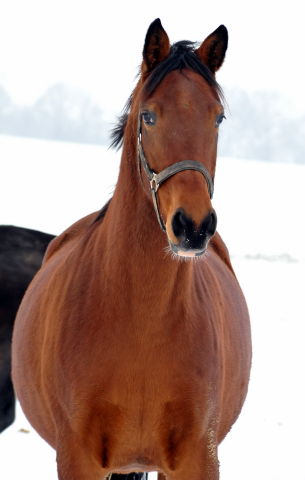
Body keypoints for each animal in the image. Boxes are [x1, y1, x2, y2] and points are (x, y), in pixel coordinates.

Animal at [11, 18, 251, 480]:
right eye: (148, 116)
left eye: (218, 118)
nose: (193, 227)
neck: (143, 322)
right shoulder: (77, 459)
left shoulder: (199, 459)